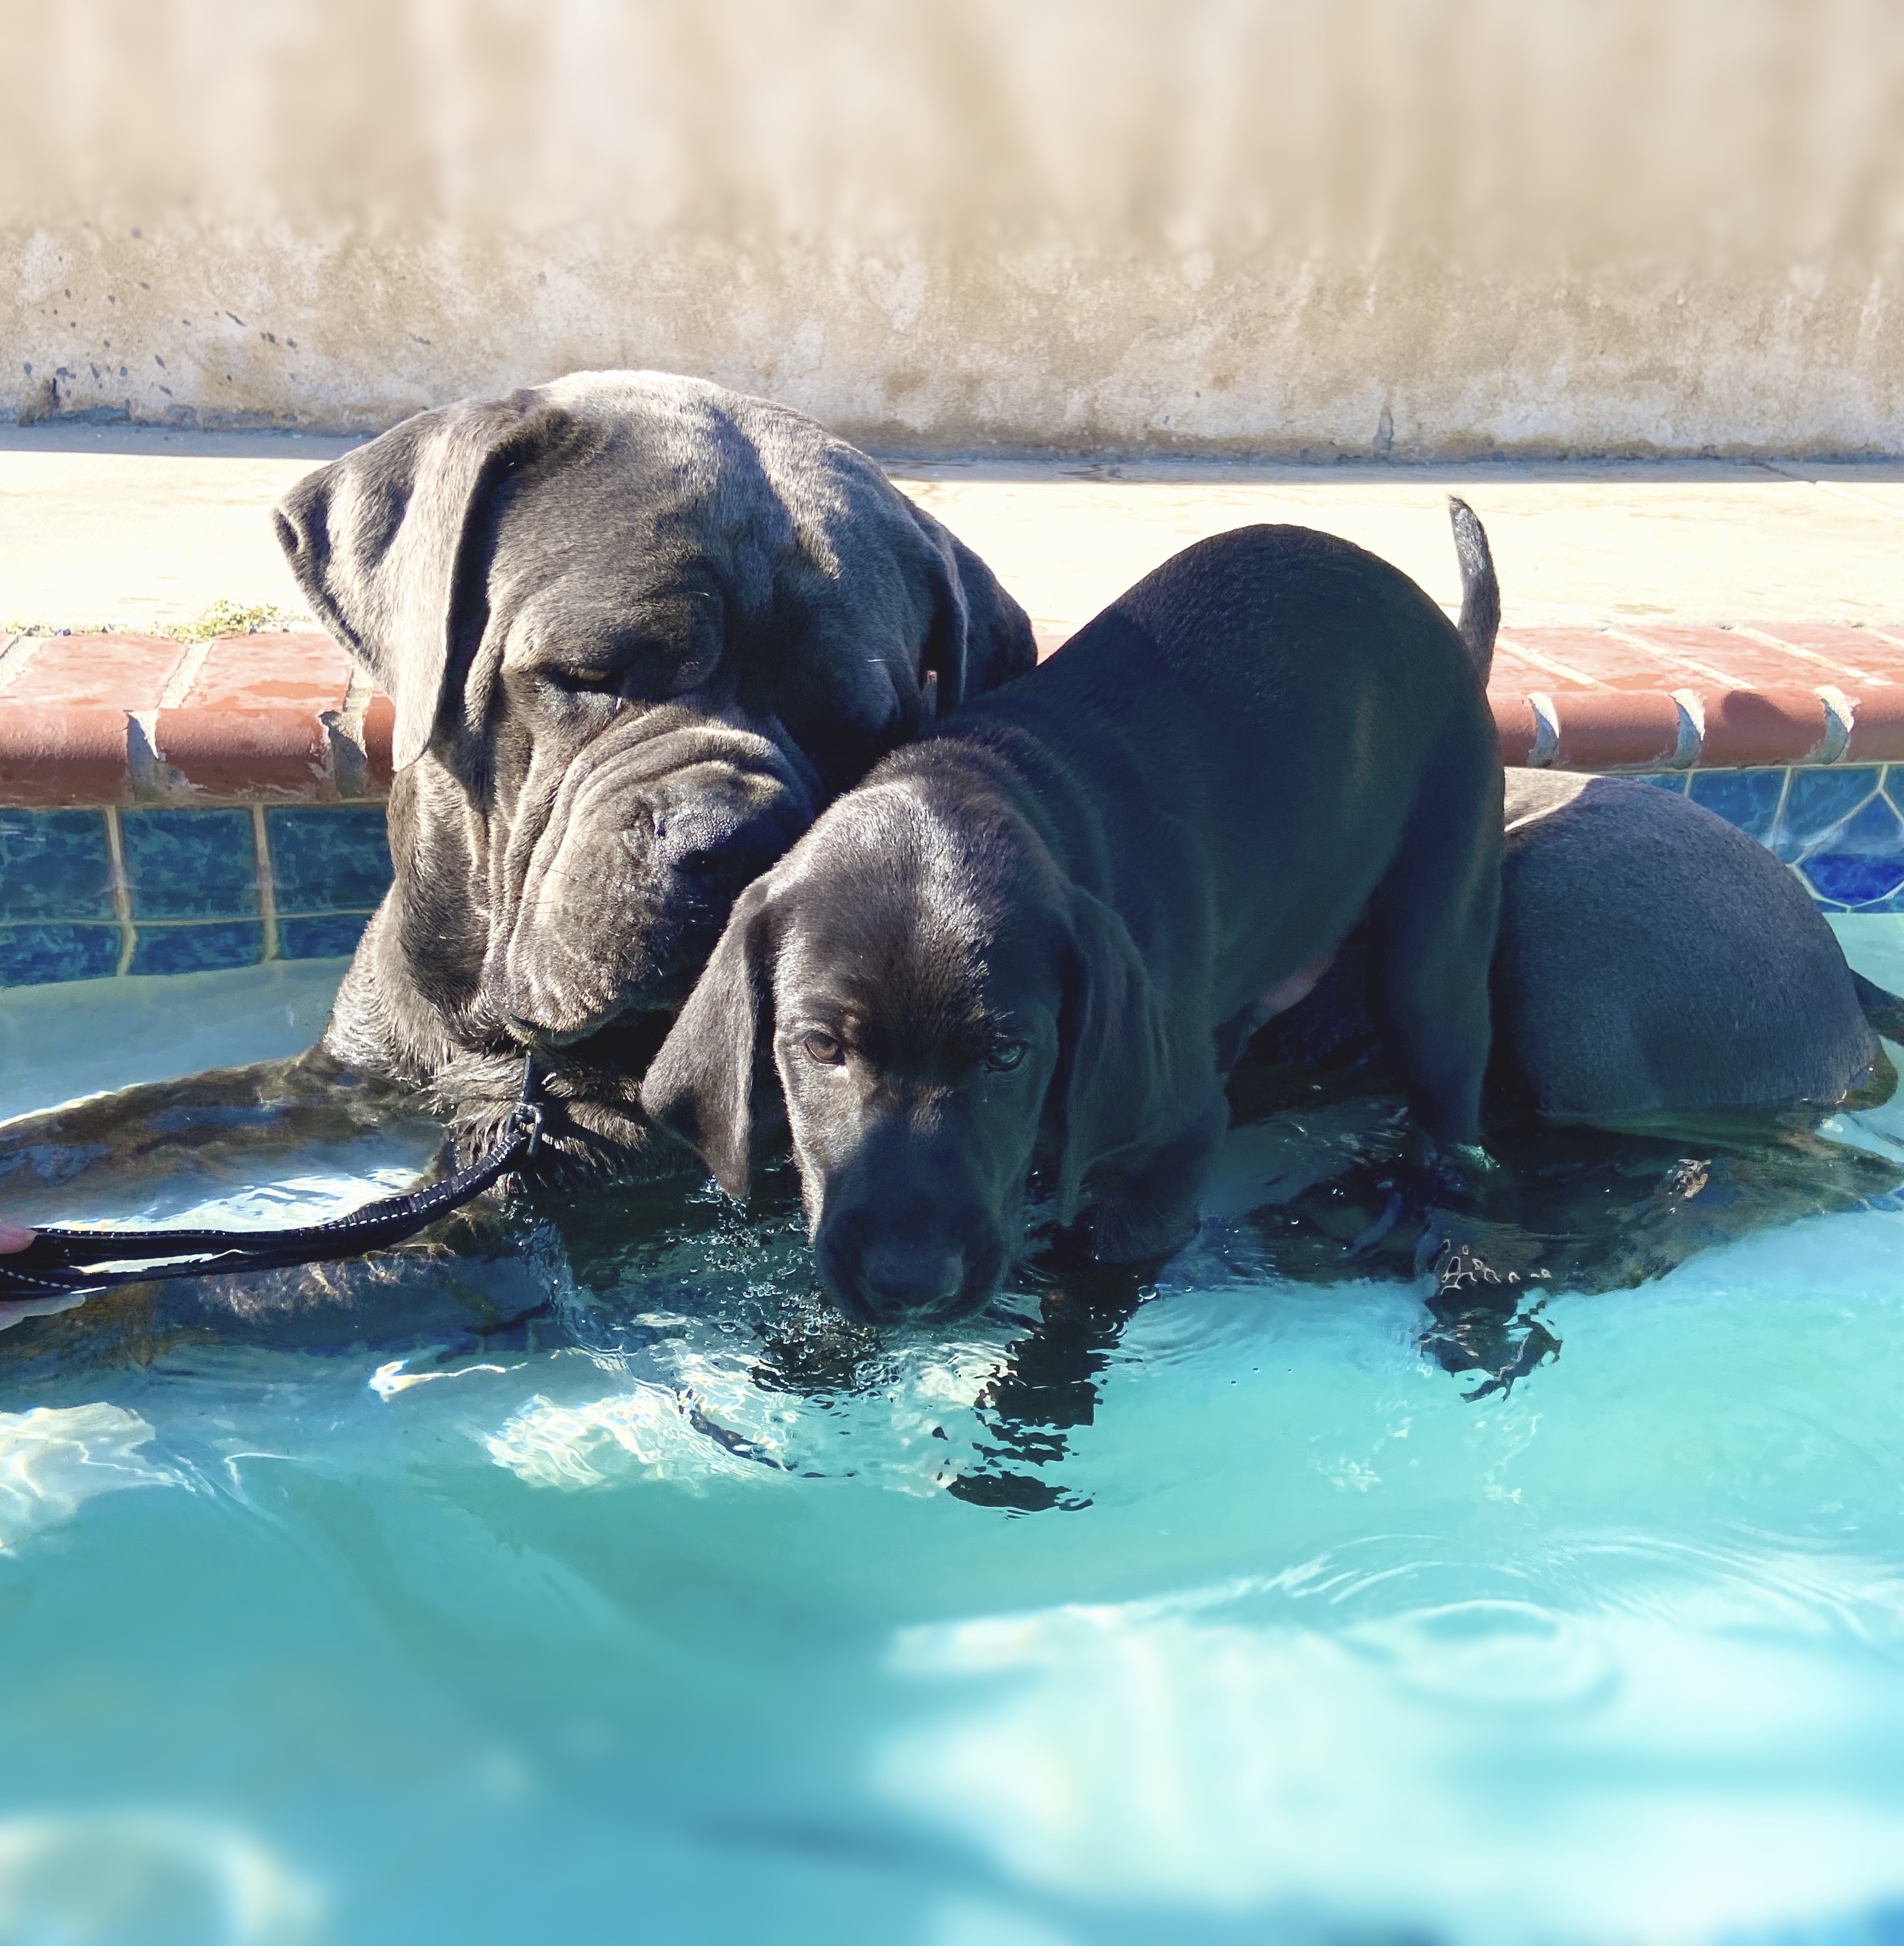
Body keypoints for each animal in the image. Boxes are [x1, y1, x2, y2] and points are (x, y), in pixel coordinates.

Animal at [0, 368, 1027, 1230]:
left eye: (859, 729)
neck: (481, 1027)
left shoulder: (537, 1186)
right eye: (587, 673)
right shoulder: (339, 1076)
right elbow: (131, 1121)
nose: (734, 841)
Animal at [646, 506, 1503, 1323]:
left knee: (1451, 1115)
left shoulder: (1170, 1153)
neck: (974, 777)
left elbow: (1088, 1292)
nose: (909, 1283)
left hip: (1433, 953)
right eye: (822, 1047)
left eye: (1007, 1055)